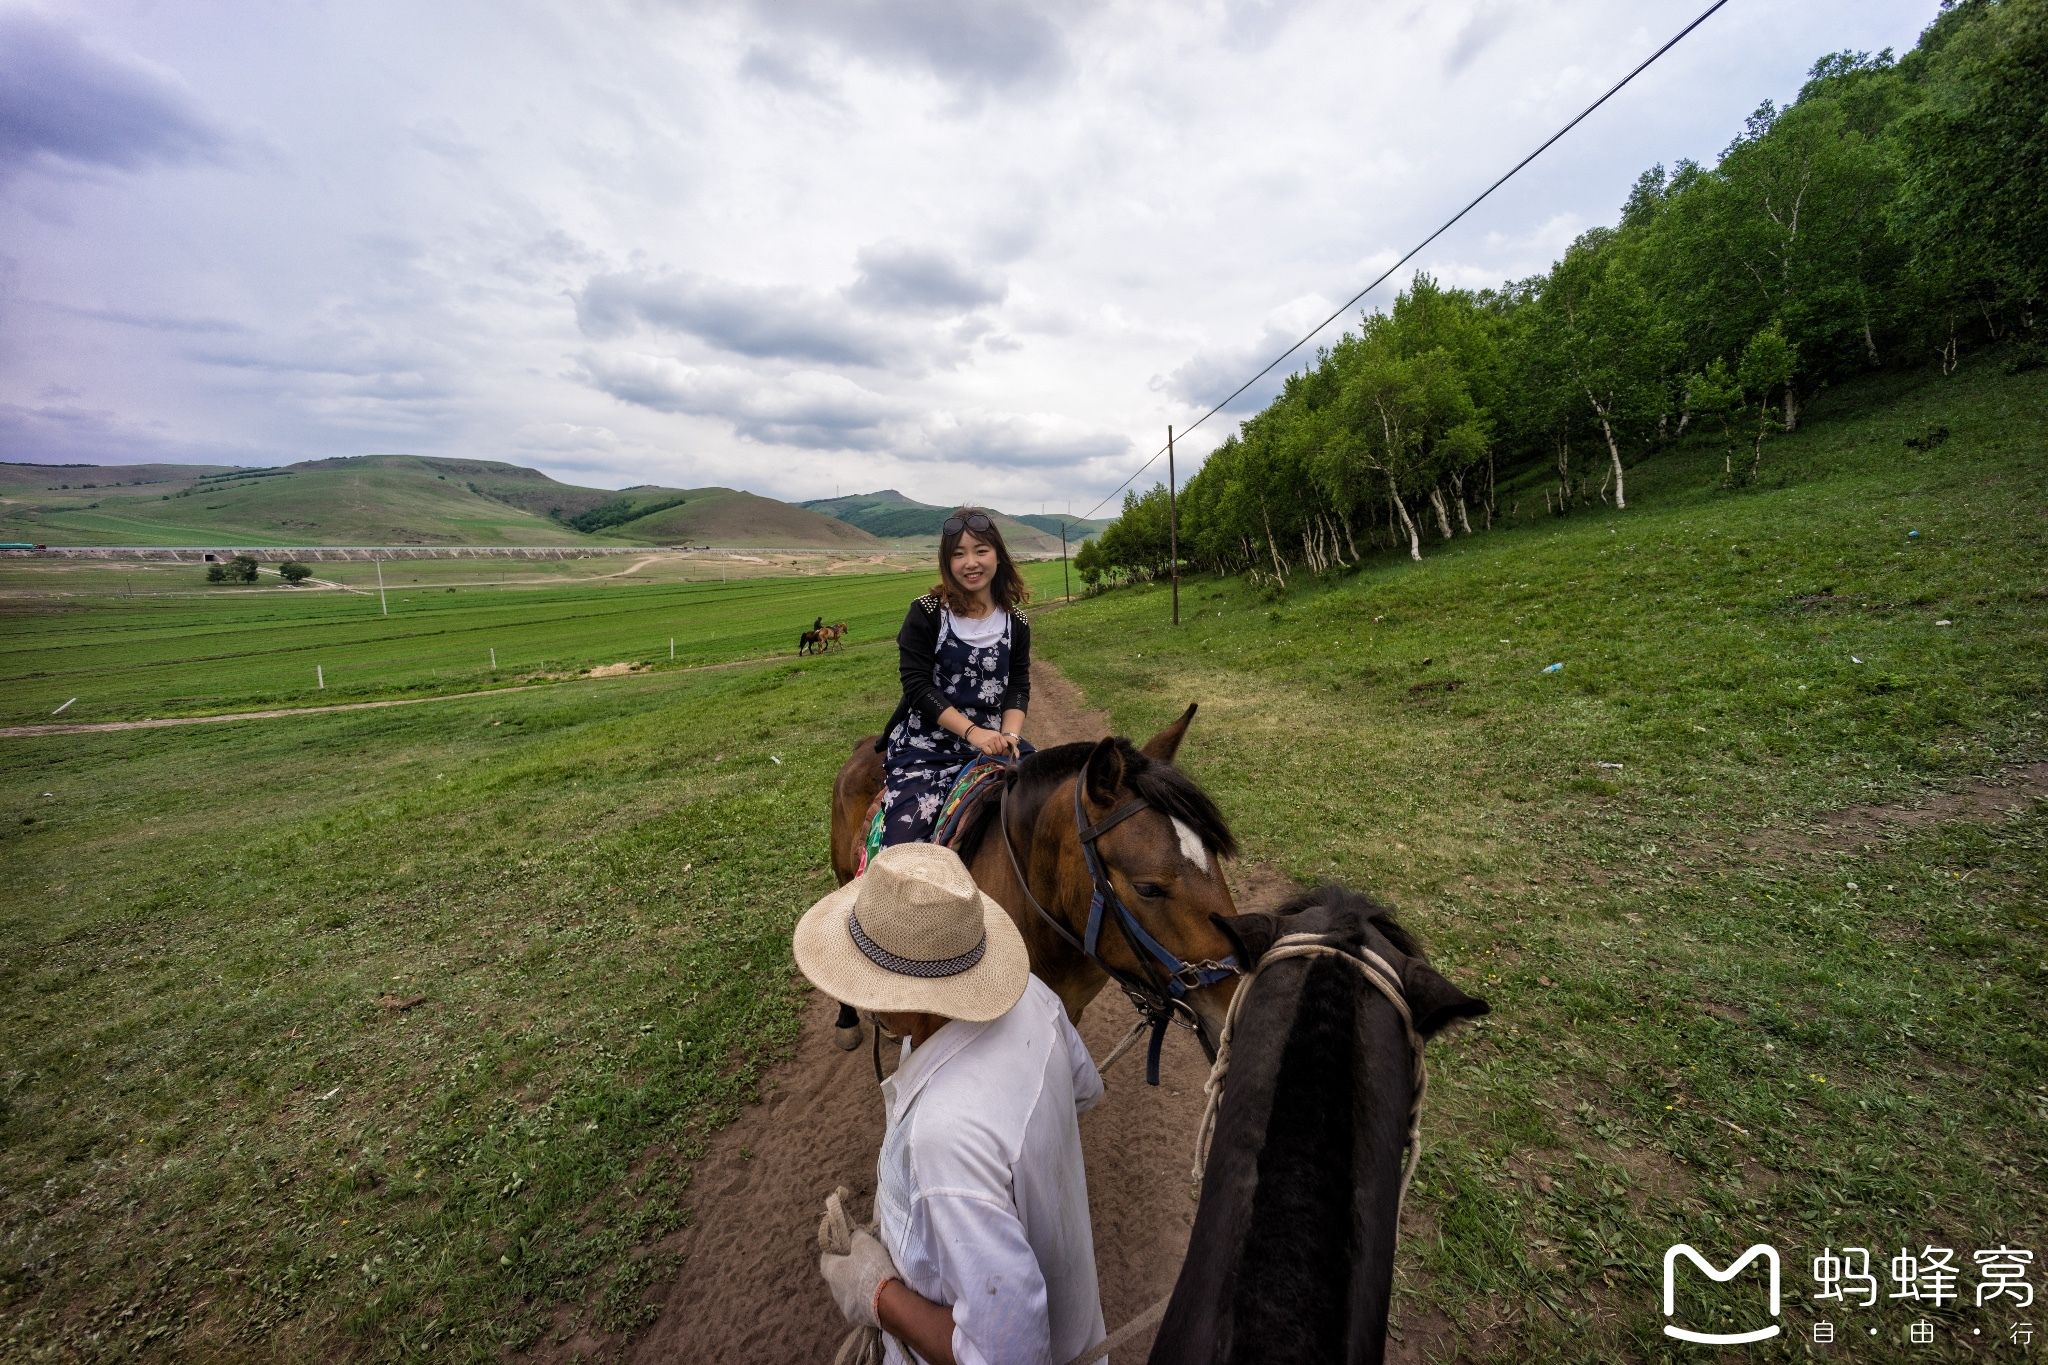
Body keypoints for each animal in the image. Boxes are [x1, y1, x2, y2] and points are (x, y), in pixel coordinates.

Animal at [831, 703, 1245, 1064]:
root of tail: (864, 745)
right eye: (1148, 888)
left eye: (1213, 854)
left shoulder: (1070, 1009)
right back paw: (849, 1021)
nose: (1232, 1016)